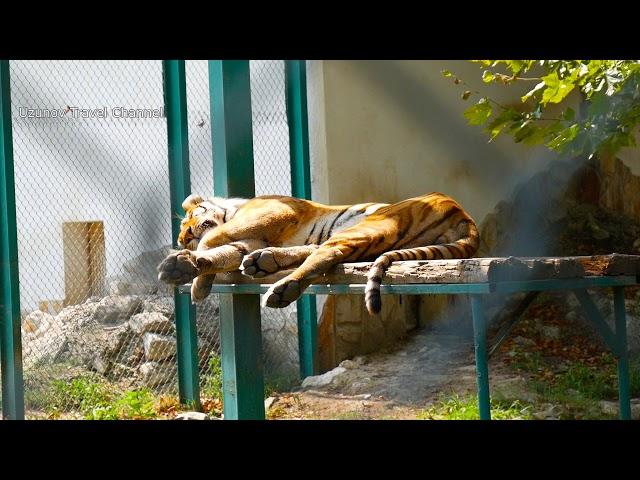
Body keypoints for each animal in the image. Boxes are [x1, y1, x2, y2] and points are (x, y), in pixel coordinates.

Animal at [158, 191, 478, 316]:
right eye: (183, 232)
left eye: (190, 220)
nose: (185, 237)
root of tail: (462, 213)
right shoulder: (247, 241)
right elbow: (221, 254)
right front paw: (196, 279)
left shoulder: (270, 213)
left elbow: (214, 237)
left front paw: (192, 265)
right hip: (369, 236)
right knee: (326, 252)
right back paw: (265, 262)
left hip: (373, 223)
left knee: (325, 254)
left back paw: (281, 288)